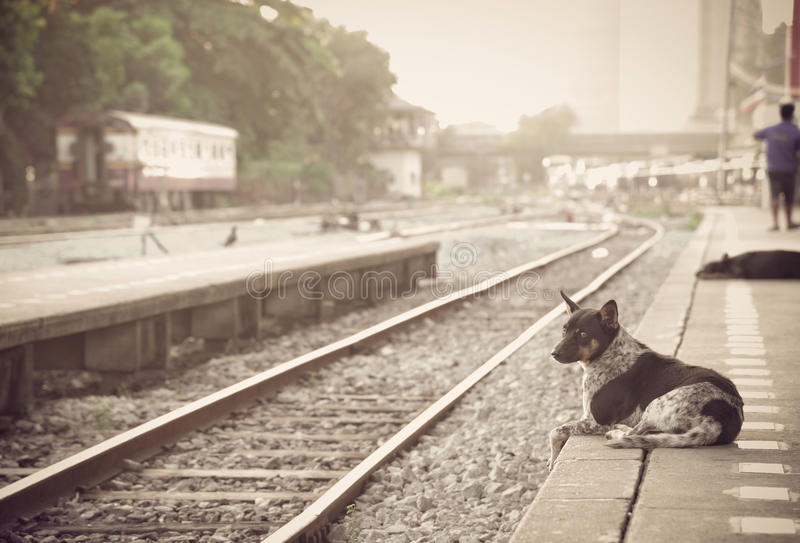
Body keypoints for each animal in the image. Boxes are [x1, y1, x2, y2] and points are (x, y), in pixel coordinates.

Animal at [552, 288, 744, 472]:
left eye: (583, 334)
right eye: (564, 330)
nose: (554, 353)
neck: (610, 354)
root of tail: (720, 419)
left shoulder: (596, 422)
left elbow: (555, 431)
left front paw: (552, 460)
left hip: (657, 404)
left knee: (634, 433)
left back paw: (618, 431)